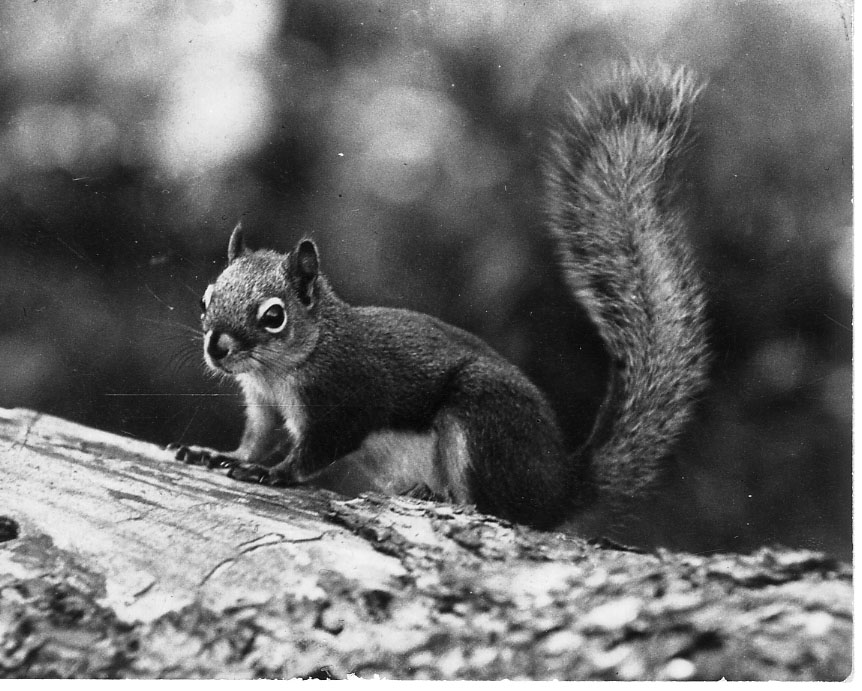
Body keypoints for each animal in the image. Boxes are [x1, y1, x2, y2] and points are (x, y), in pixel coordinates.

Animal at [168, 63, 709, 531]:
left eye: (274, 316)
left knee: (502, 508)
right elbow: (256, 439)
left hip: (481, 420)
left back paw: (448, 498)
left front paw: (274, 473)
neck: (286, 368)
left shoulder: (344, 400)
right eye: (206, 300)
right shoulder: (261, 402)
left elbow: (313, 453)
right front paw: (222, 455)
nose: (218, 347)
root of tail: (558, 488)